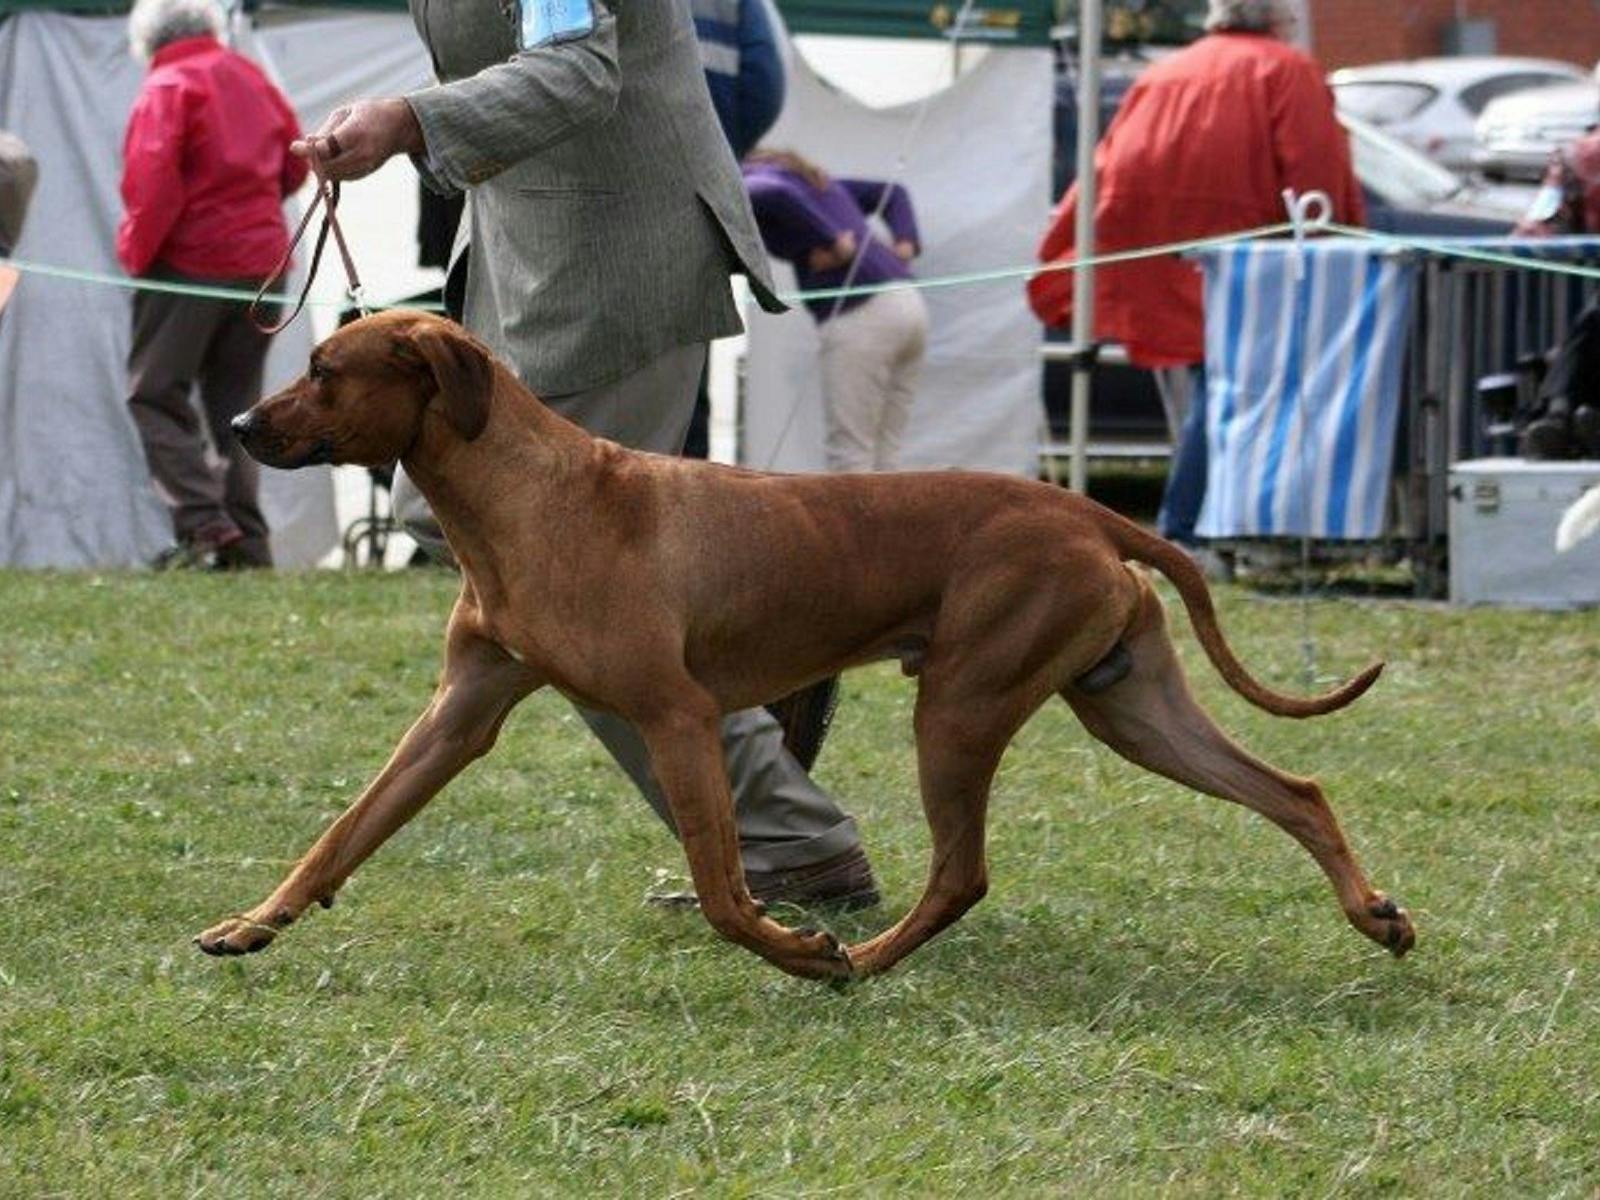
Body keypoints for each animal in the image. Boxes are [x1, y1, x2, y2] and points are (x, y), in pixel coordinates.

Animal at [196, 315, 1414, 979]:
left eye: (326, 370)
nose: (242, 427)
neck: (526, 496)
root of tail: (1082, 509)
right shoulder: (461, 712)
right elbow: (343, 832)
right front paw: (254, 925)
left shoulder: (677, 716)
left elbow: (725, 889)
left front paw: (797, 950)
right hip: (1130, 704)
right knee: (1294, 789)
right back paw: (1374, 914)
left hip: (961, 704)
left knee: (961, 872)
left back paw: (859, 962)